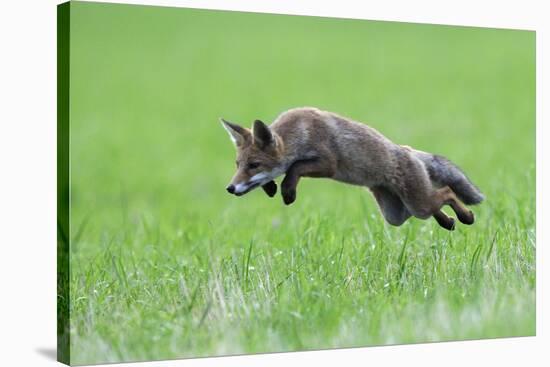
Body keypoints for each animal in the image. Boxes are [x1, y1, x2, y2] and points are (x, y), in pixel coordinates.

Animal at [222, 108, 486, 231]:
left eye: (254, 165)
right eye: (238, 165)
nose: (230, 188)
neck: (299, 132)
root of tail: (408, 150)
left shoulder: (328, 164)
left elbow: (295, 168)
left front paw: (287, 191)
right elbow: (285, 171)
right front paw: (270, 187)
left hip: (416, 204)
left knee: (447, 193)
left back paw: (466, 217)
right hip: (398, 214)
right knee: (435, 204)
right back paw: (449, 222)